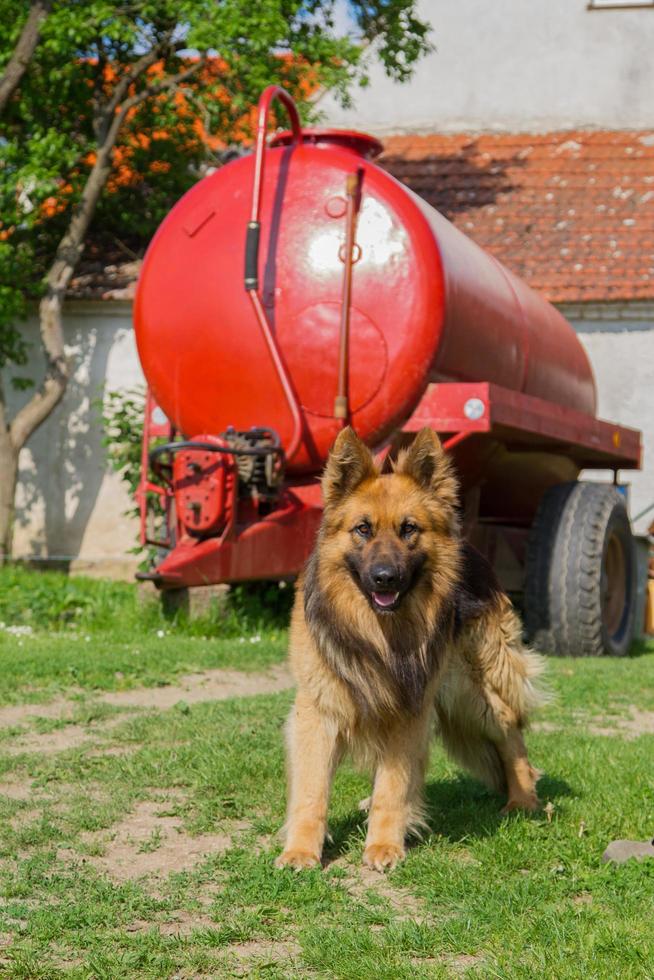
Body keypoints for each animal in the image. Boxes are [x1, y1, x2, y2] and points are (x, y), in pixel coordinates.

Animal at [278, 424, 548, 868]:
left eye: (409, 529)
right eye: (363, 529)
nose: (385, 577)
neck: (378, 637)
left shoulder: (410, 710)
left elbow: (393, 784)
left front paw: (384, 845)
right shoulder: (321, 710)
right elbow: (312, 790)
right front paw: (301, 849)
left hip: (473, 692)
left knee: (512, 734)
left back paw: (523, 799)